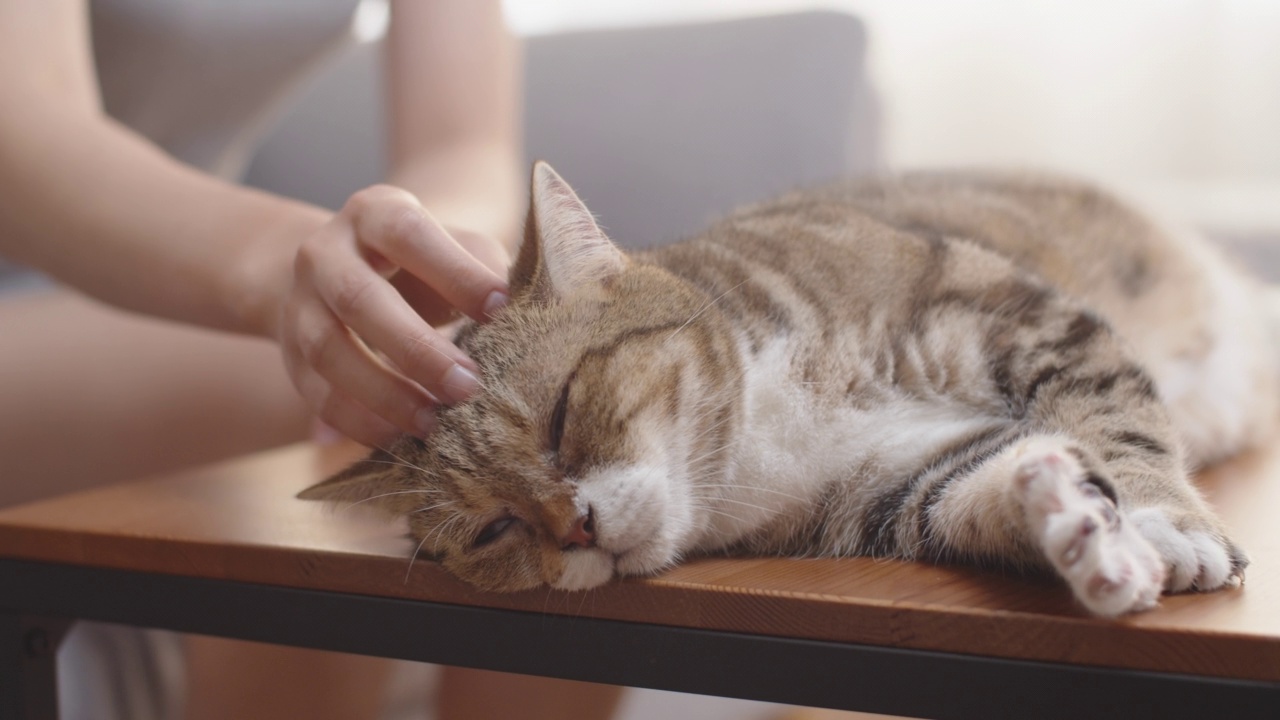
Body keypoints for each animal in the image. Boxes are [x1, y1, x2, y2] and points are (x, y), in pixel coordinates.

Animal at [302, 159, 1269, 614]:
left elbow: (1114, 415)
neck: (765, 429)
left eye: (562, 414)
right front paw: (1071, 525)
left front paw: (1161, 519)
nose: (575, 531)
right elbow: (972, 496)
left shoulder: (1007, 310)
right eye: (493, 529)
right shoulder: (892, 487)